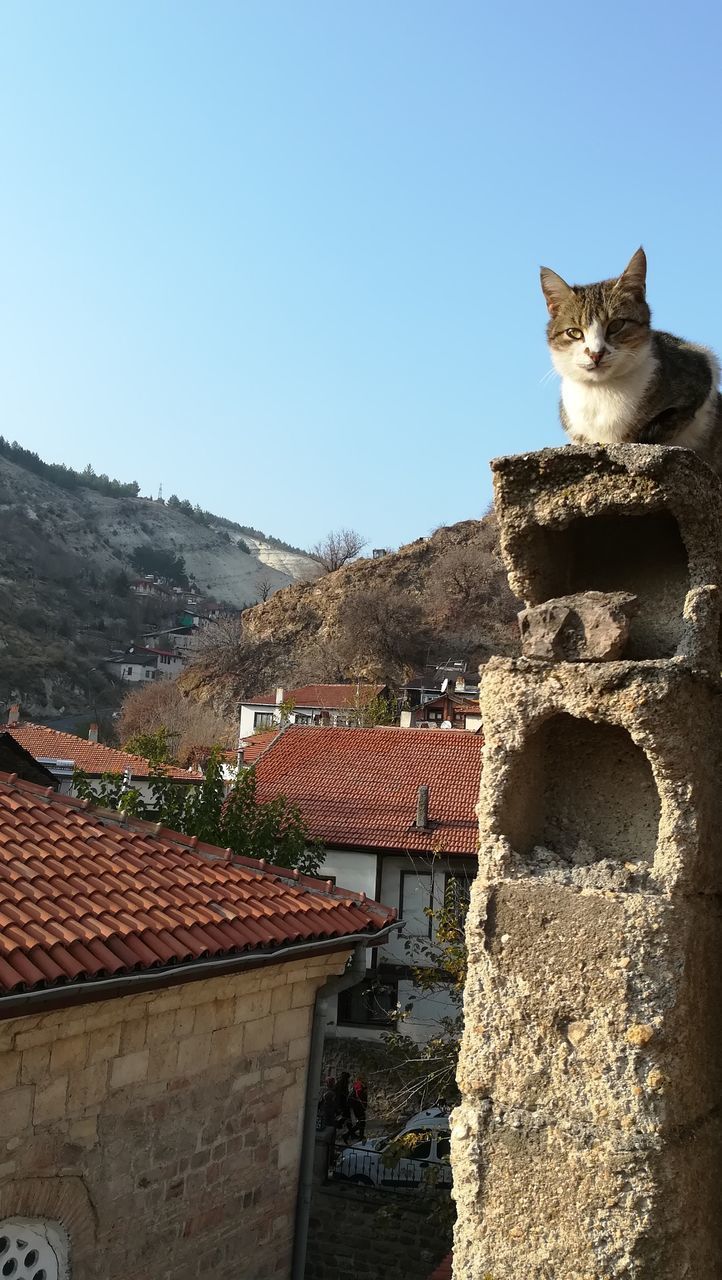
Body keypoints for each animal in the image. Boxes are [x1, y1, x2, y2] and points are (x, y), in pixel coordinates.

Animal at [542, 245, 722, 476]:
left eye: (616, 325)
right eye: (574, 332)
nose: (595, 353)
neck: (602, 390)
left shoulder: (701, 367)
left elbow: (656, 428)